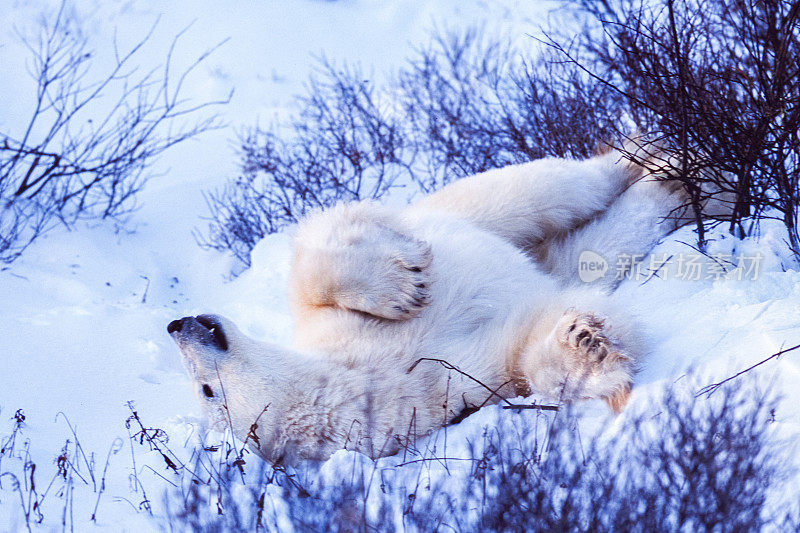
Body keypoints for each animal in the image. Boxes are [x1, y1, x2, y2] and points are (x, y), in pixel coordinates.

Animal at [169, 149, 692, 462]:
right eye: (207, 392)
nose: (177, 325)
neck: (347, 368)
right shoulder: (432, 393)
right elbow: (520, 353)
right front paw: (586, 346)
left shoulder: (322, 324)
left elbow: (316, 255)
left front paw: (401, 288)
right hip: (558, 258)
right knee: (595, 245)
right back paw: (671, 185)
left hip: (464, 212)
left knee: (541, 190)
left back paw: (651, 160)